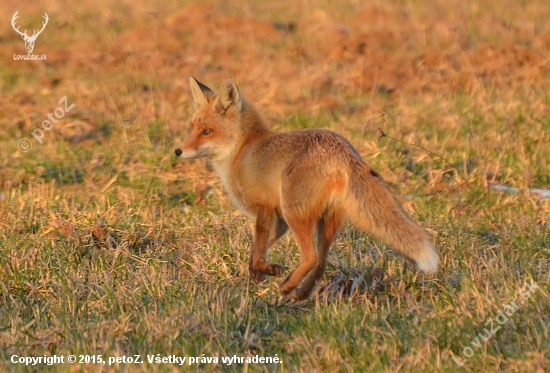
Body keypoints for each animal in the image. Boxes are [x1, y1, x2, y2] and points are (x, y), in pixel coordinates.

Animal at [177, 77, 440, 300]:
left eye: (207, 132)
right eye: (192, 128)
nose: (178, 151)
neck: (243, 150)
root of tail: (345, 152)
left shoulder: (266, 208)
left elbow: (259, 245)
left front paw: (266, 269)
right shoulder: (279, 219)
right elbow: (257, 249)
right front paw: (258, 272)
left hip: (295, 212)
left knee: (311, 257)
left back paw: (289, 286)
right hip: (327, 222)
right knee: (321, 262)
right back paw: (300, 293)